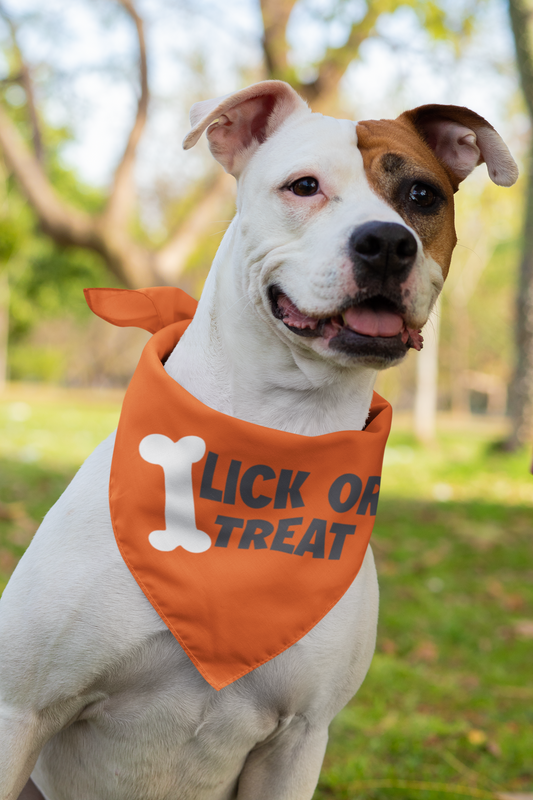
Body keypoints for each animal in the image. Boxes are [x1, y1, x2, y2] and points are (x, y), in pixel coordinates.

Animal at [0, 81, 516, 800]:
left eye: (421, 195)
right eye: (303, 186)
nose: (388, 242)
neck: (276, 432)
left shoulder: (298, 739)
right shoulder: (21, 710)